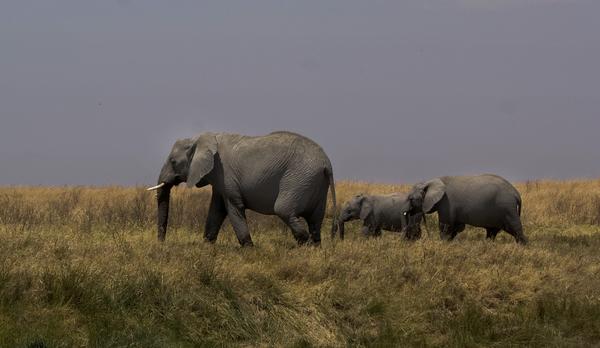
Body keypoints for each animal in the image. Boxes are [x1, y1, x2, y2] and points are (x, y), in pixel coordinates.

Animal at [144, 131, 336, 247]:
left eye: (173, 162)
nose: (161, 244)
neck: (200, 139)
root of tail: (326, 163)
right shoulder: (219, 179)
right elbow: (217, 209)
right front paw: (207, 246)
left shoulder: (226, 175)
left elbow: (233, 208)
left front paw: (249, 249)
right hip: (316, 184)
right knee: (315, 220)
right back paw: (315, 249)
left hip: (299, 178)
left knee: (284, 210)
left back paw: (305, 247)